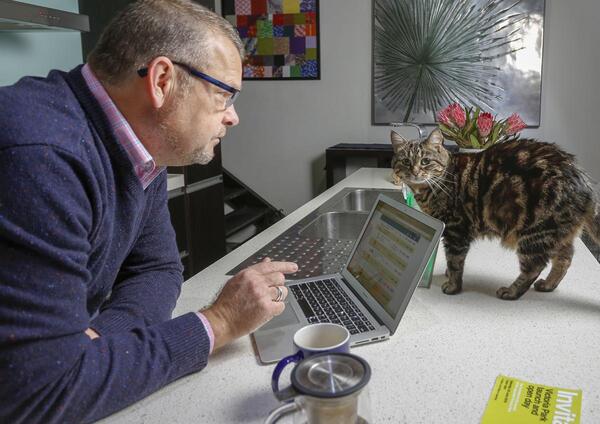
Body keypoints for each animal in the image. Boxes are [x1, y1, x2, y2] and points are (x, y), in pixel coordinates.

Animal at [392, 129, 596, 298]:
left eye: (425, 161)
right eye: (406, 161)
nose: (414, 171)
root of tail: (584, 180)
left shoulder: (456, 230)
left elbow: (455, 261)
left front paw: (453, 285)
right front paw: (449, 276)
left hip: (535, 233)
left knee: (534, 267)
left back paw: (512, 291)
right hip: (556, 234)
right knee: (565, 258)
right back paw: (548, 285)